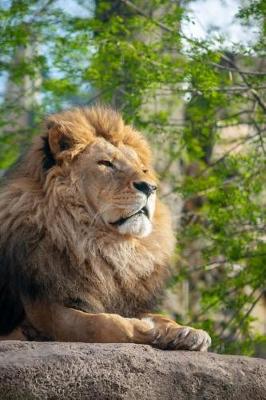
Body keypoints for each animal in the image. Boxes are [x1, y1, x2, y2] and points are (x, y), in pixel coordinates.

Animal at [0, 106, 212, 350]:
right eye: (106, 163)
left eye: (143, 169)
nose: (150, 187)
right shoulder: (45, 311)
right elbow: (102, 324)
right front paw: (146, 329)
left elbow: (156, 316)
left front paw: (187, 332)